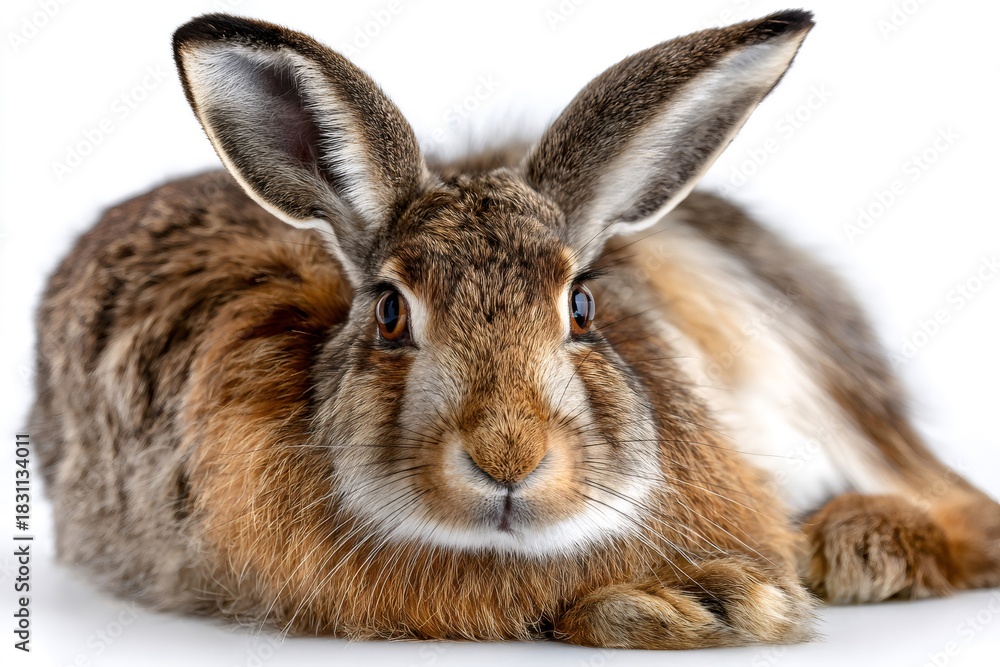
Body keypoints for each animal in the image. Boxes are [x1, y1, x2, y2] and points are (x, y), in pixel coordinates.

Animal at [28, 9, 1000, 649]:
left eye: (583, 307)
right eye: (390, 311)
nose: (509, 456)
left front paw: (728, 599)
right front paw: (694, 603)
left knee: (965, 511)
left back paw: (856, 546)